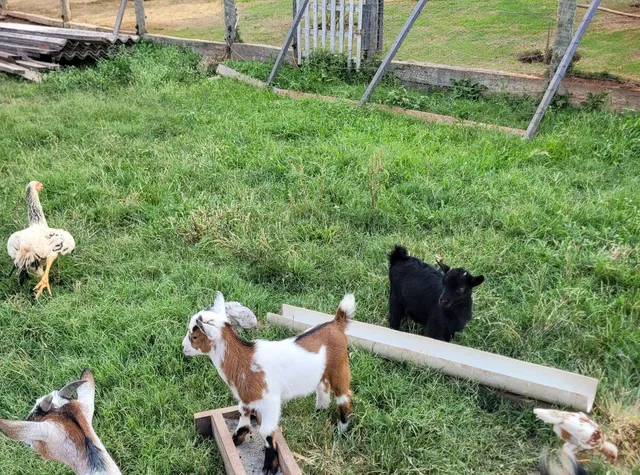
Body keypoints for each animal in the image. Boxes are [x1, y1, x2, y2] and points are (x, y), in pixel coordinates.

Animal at [183, 291, 355, 474]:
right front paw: (237, 437)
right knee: (322, 386)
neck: (244, 360)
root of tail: (336, 322)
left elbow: (266, 431)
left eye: (194, 336)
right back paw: (319, 410)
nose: (183, 347)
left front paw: (269, 466)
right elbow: (243, 411)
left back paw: (342, 429)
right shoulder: (247, 395)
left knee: (344, 396)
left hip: (339, 366)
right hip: (322, 370)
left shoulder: (270, 400)